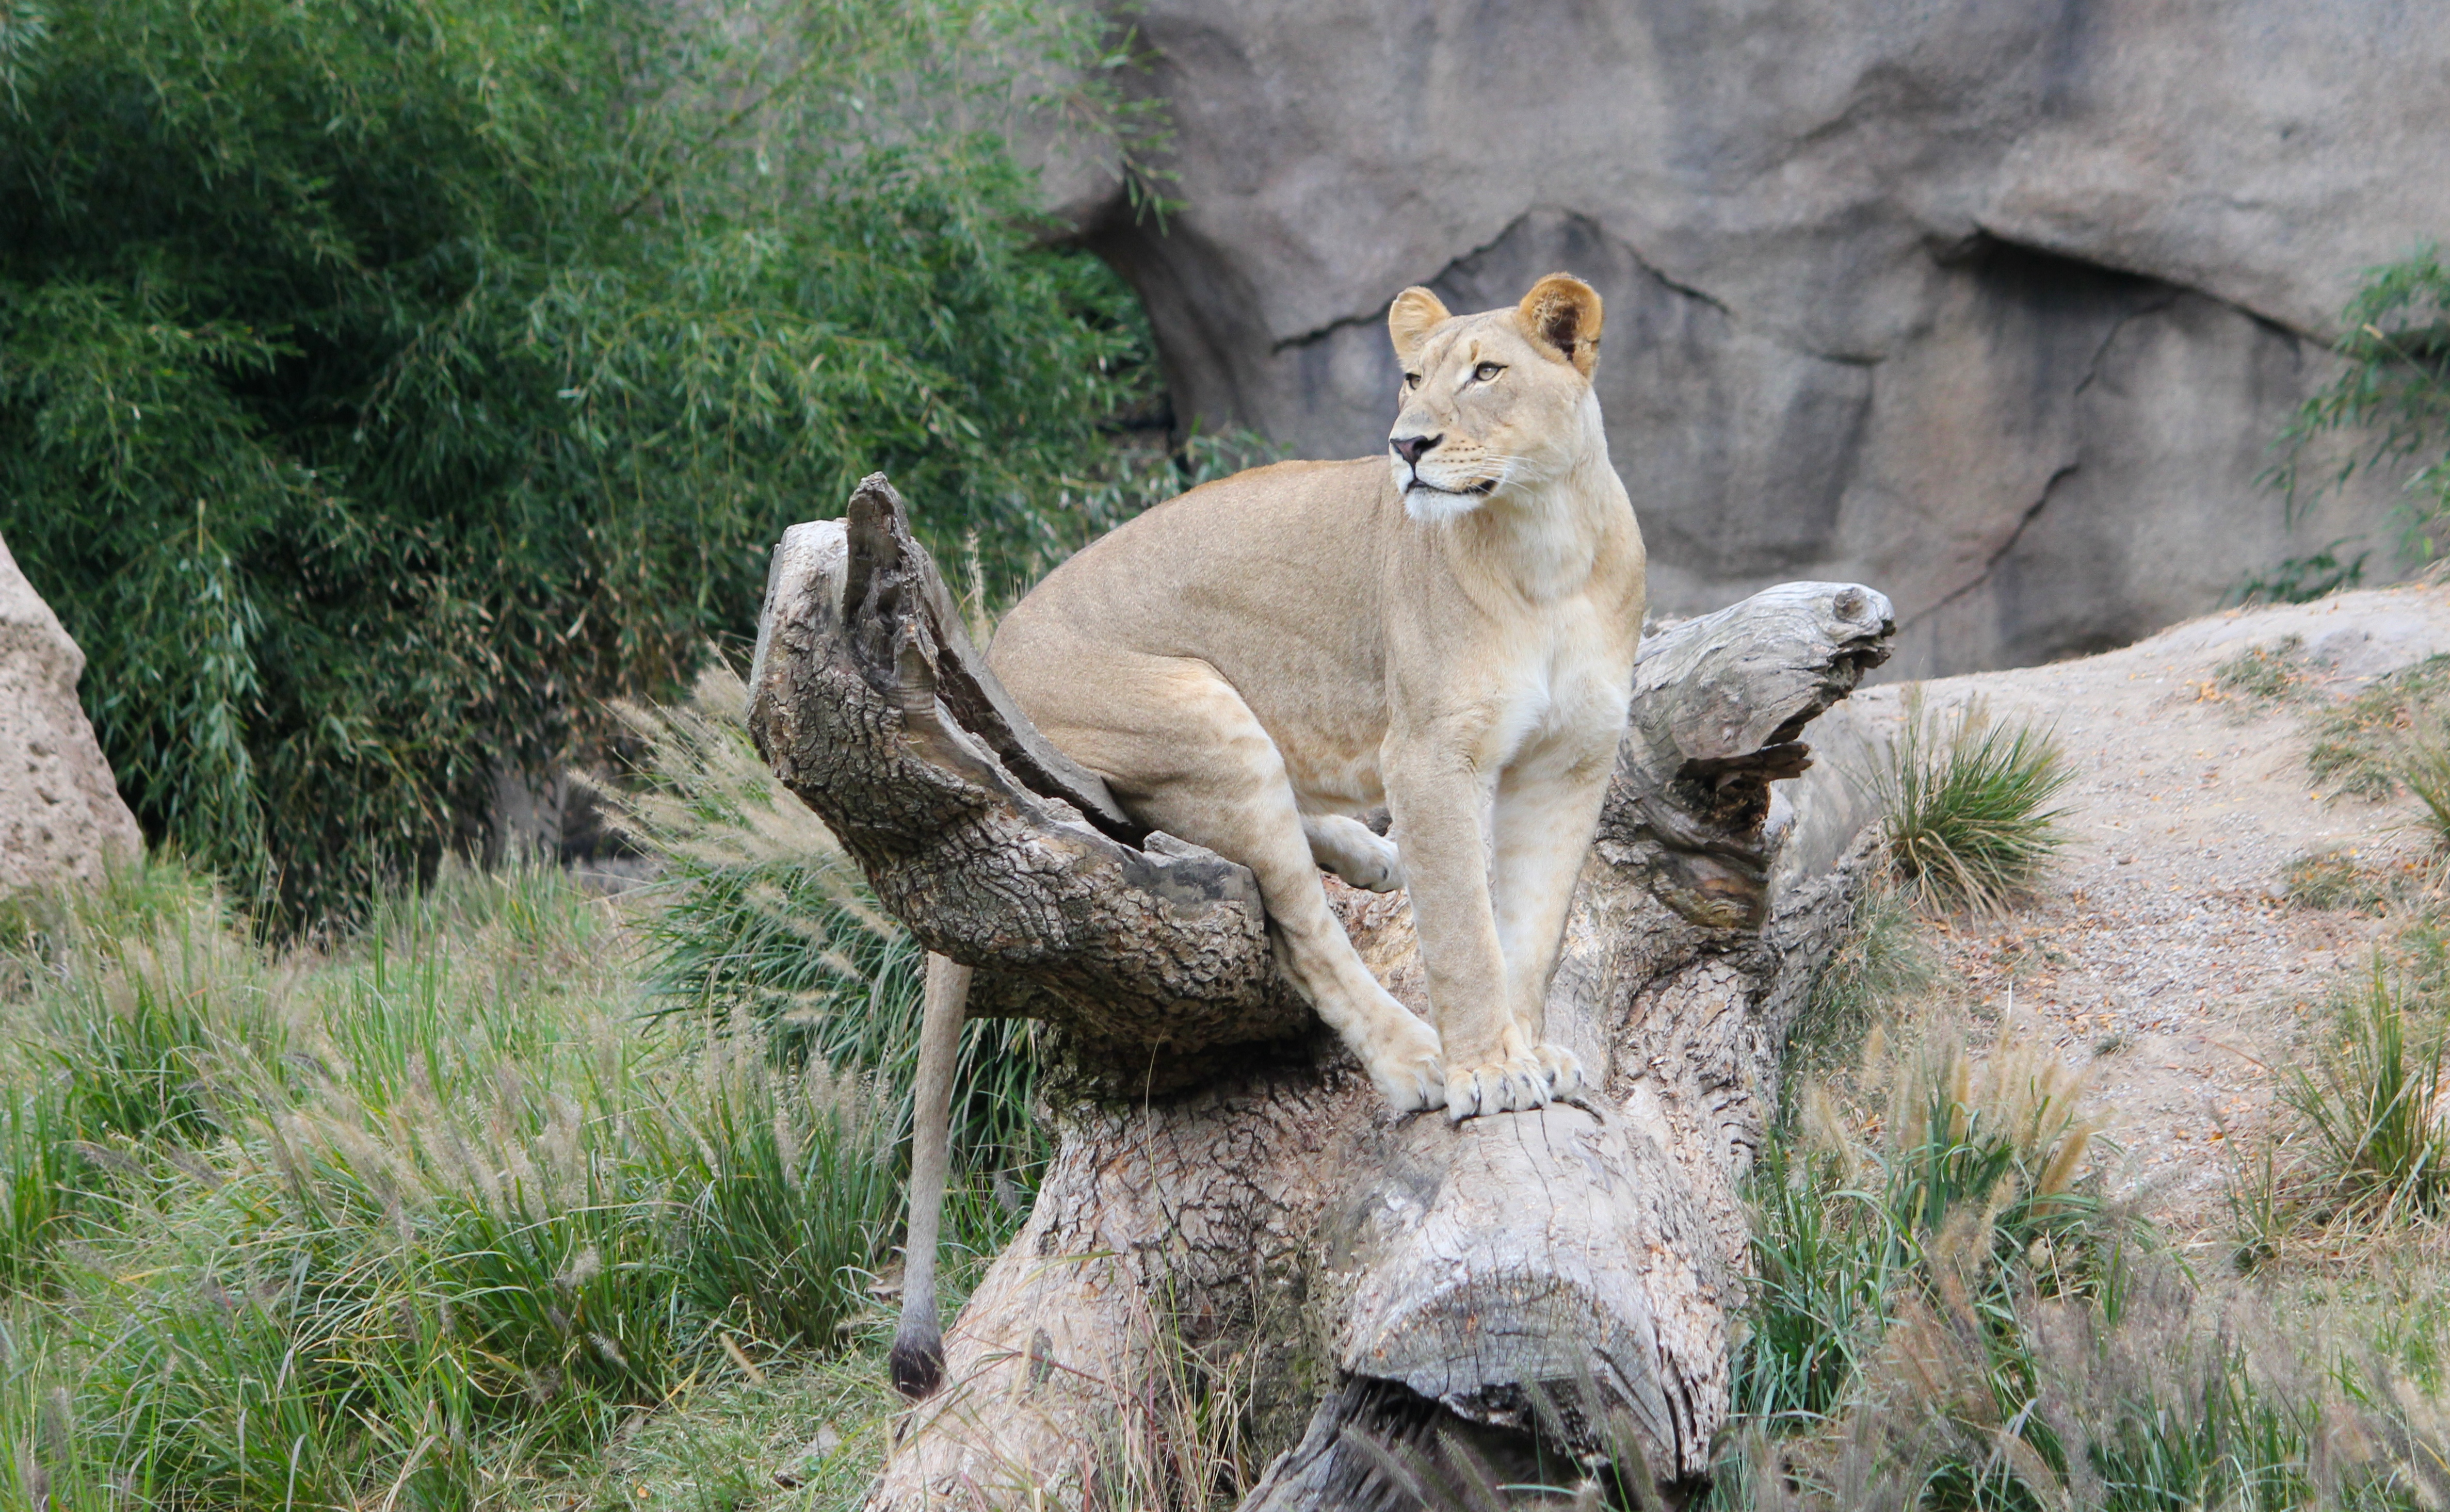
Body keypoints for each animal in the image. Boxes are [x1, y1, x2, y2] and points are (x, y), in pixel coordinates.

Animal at [891, 273, 1647, 1397]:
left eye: (1486, 372)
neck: (1541, 535)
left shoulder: (1572, 759)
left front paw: (1526, 1052)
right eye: (1412, 377)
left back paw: (1367, 855)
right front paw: (1481, 1068)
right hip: (1205, 714)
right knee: (1293, 924)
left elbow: (1532, 925)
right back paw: (1415, 1061)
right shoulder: (1429, 757)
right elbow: (1464, 934)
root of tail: (989, 657)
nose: (1407, 444)